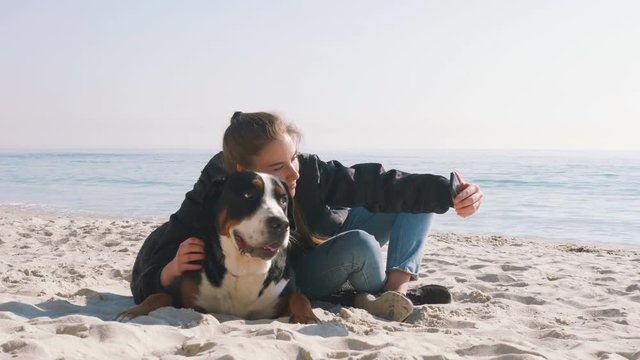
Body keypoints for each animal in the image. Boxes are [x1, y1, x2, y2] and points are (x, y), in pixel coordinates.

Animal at [116, 172, 318, 324]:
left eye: (283, 200)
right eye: (248, 194)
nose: (281, 224)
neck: (244, 268)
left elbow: (299, 297)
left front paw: (308, 317)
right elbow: (158, 296)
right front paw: (133, 312)